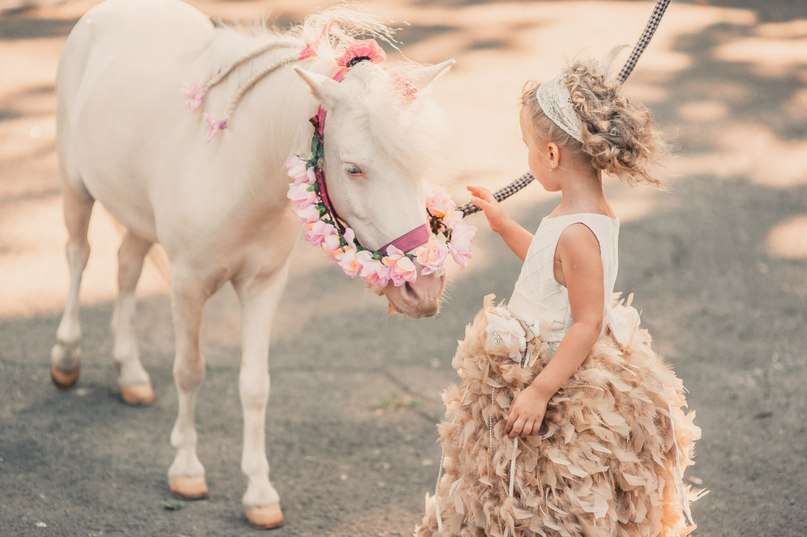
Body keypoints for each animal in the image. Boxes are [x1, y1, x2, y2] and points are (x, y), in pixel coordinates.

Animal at [52, 0, 454, 528]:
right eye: (353, 168)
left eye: (419, 164)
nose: (422, 288)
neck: (236, 164)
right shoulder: (187, 285)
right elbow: (189, 371)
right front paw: (186, 470)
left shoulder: (264, 285)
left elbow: (255, 386)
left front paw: (260, 493)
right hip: (76, 188)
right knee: (78, 258)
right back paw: (66, 357)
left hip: (135, 213)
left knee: (126, 267)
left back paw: (132, 375)